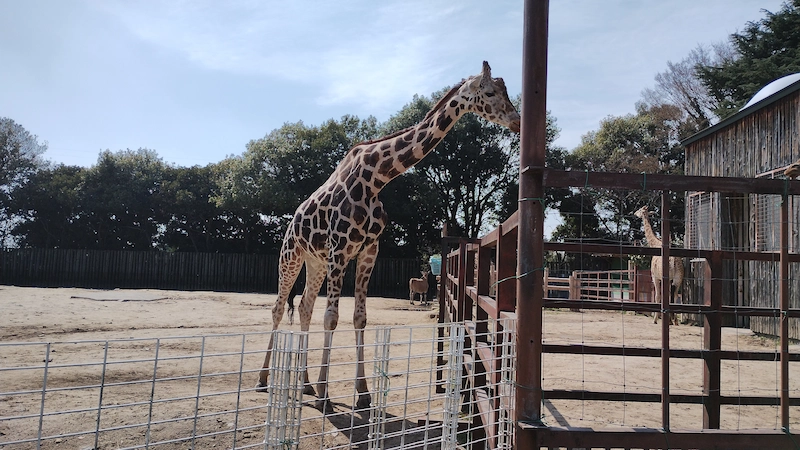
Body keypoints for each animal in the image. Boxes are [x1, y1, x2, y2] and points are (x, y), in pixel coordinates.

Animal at [256, 60, 520, 412]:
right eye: (490, 92)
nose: (517, 120)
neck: (377, 179)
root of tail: (291, 222)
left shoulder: (368, 251)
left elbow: (359, 318)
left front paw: (363, 394)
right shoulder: (340, 250)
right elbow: (332, 318)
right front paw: (327, 394)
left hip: (316, 262)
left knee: (304, 307)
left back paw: (305, 383)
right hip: (292, 256)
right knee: (277, 308)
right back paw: (264, 379)